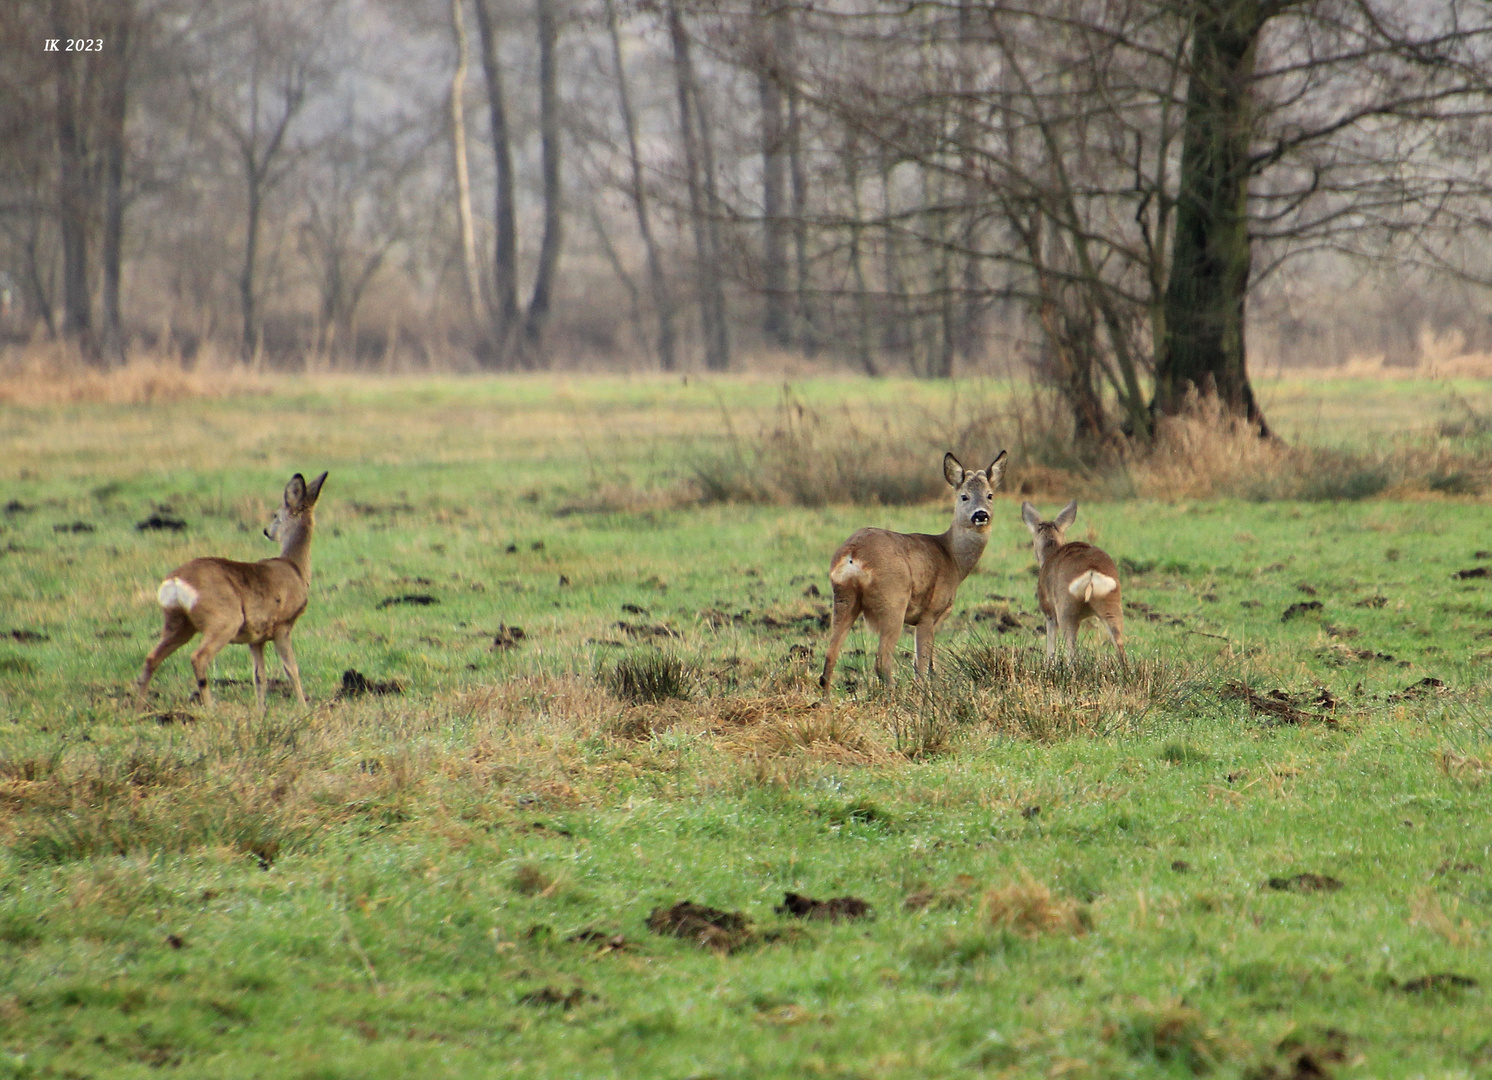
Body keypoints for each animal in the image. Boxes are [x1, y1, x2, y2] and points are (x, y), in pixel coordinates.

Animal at [135, 471, 329, 710]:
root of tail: (175, 580)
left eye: (275, 514)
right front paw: (304, 708)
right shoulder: (283, 626)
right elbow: (291, 669)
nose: (267, 531)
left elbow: (259, 676)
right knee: (198, 657)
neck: (295, 568)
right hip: (224, 620)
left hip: (178, 624)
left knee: (151, 658)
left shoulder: (257, 638)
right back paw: (211, 710)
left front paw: (260, 712)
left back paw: (138, 709)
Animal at [817, 450, 1014, 692]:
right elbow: (922, 665)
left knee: (830, 657)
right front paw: (923, 692)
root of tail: (852, 553)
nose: (980, 515)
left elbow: (929, 665)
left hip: (844, 599)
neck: (952, 558)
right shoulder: (929, 613)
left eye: (990, 495)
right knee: (882, 660)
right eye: (964, 496)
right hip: (893, 600)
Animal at [1020, 501, 1121, 671]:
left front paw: (1049, 665)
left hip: (1066, 609)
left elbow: (1051, 643)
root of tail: (1091, 571)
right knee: (1120, 645)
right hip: (1112, 605)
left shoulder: (1048, 611)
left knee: (1071, 649)